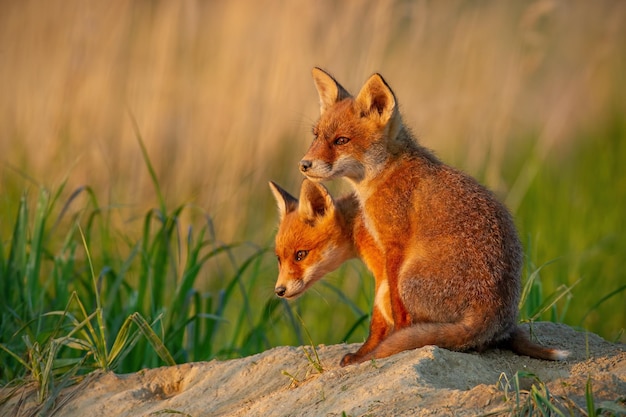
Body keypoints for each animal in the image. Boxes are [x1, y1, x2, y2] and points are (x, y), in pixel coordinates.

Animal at [268, 67, 564, 364]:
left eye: (341, 141)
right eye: (316, 136)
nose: (303, 164)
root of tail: (493, 315)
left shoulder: (390, 251)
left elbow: (383, 316)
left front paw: (368, 352)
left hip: (408, 277)